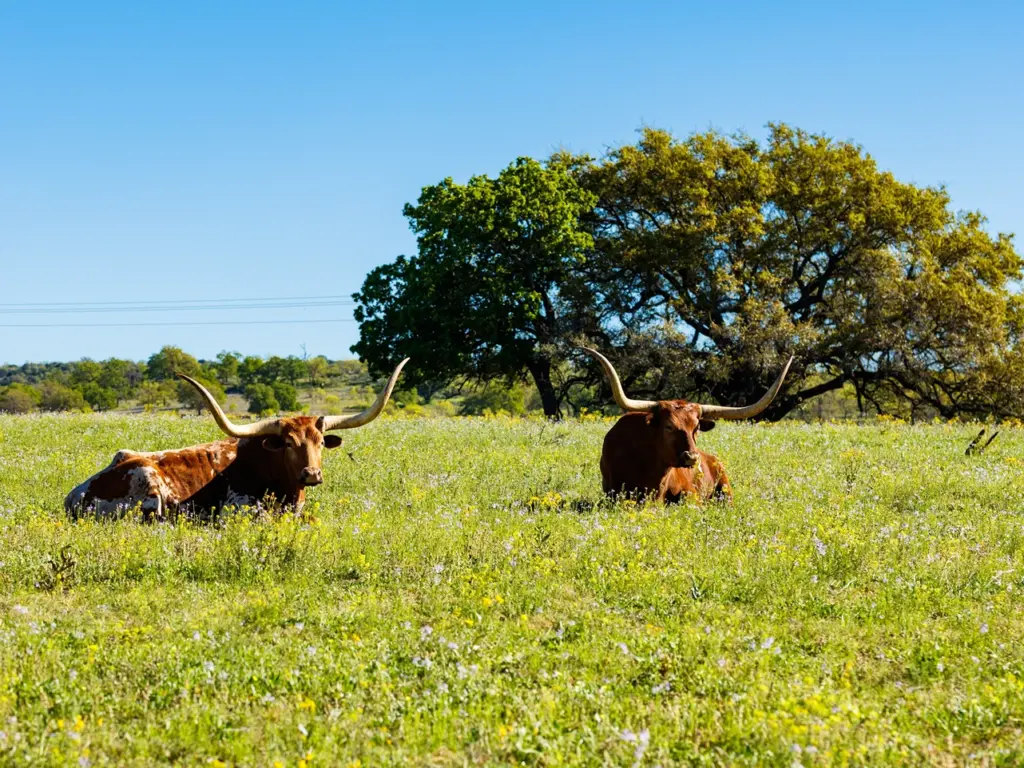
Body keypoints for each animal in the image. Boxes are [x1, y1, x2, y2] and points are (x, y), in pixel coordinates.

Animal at [64, 359, 409, 521]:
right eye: (287, 443)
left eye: (321, 443)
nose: (312, 474)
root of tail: (74, 496)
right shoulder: (238, 509)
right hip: (147, 478)